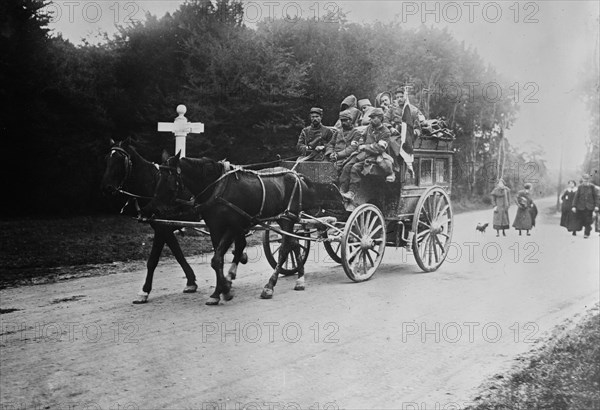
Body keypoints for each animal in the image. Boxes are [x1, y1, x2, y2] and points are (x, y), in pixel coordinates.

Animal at [143, 151, 318, 304]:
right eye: (158, 177)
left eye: (168, 178)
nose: (154, 208)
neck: (217, 187)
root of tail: (295, 174)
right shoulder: (215, 227)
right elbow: (218, 259)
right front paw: (220, 291)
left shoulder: (232, 226)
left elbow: (216, 259)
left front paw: (224, 290)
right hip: (284, 219)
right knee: (294, 243)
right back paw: (300, 279)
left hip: (288, 218)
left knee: (285, 248)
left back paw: (270, 286)